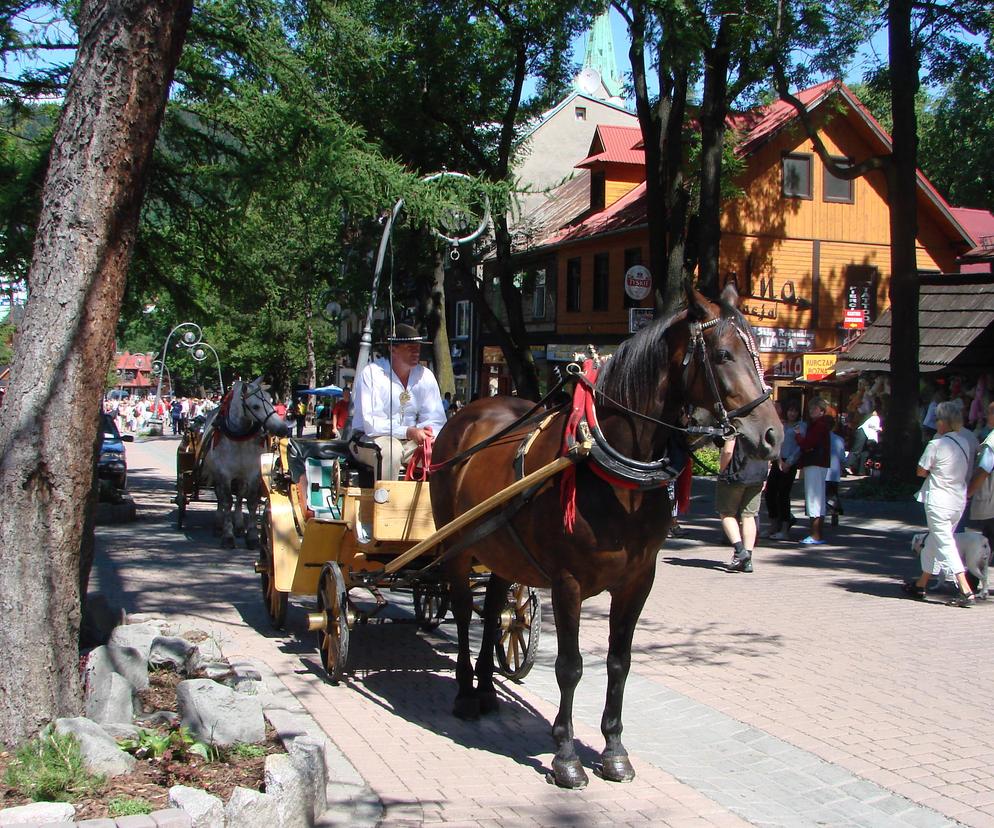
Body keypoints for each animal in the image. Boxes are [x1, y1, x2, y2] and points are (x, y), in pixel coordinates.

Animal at [200, 380, 286, 548]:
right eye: (255, 406)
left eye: (271, 400)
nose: (282, 428)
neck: (238, 439)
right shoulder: (224, 474)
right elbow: (227, 501)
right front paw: (227, 535)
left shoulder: (253, 474)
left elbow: (251, 501)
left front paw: (251, 536)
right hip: (217, 475)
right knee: (220, 497)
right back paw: (219, 524)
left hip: (240, 477)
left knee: (240, 497)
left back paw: (239, 525)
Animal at [430, 286, 780, 788]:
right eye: (723, 355)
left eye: (756, 354)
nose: (773, 435)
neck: (612, 469)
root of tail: (468, 412)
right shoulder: (568, 583)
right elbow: (571, 666)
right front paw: (566, 756)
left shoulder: (638, 581)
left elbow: (619, 661)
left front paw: (614, 750)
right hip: (458, 548)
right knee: (462, 613)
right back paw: (463, 692)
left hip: (499, 548)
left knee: (495, 609)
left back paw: (486, 689)